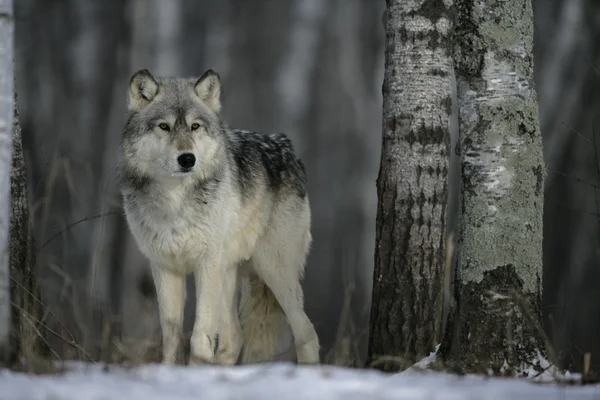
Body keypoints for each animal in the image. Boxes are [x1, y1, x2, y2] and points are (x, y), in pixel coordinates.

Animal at [118, 69, 322, 366]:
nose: (187, 159)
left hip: (272, 271)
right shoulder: (165, 268)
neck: (175, 200)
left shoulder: (206, 263)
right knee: (234, 338)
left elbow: (199, 337)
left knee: (306, 331)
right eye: (164, 127)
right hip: (228, 275)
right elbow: (172, 338)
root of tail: (288, 148)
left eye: (195, 126)